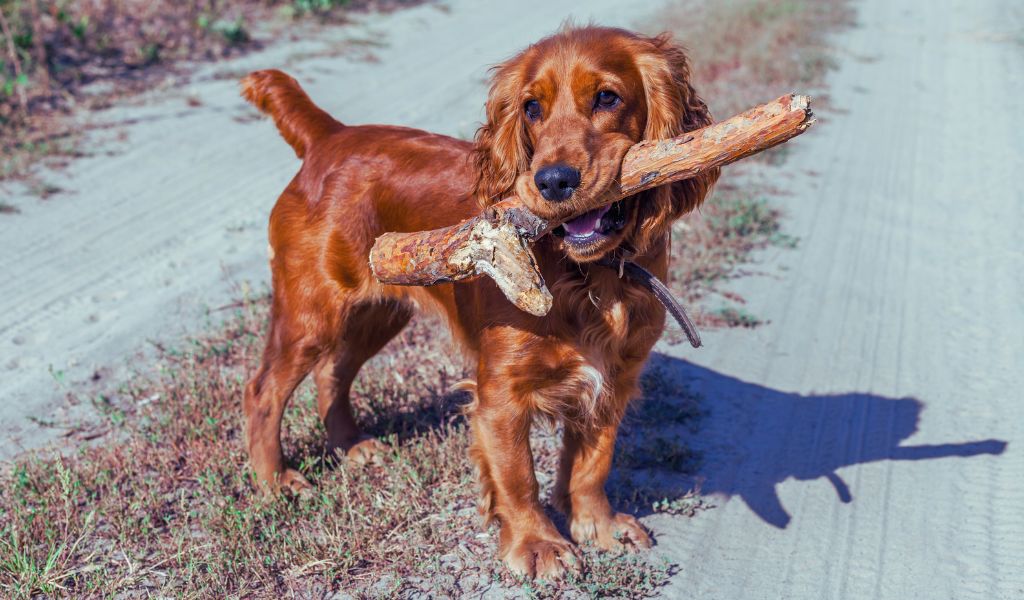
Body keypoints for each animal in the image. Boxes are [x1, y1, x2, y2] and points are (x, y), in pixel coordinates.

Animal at [239, 25, 720, 577]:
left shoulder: (615, 377)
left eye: (607, 97)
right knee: (263, 391)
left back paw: (352, 446)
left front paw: (597, 526)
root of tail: (330, 136)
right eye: (531, 108)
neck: (588, 276)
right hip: (312, 312)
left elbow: (592, 463)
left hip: (379, 313)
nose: (552, 180)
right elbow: (518, 475)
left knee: (331, 373)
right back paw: (275, 483)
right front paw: (538, 544)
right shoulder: (501, 393)